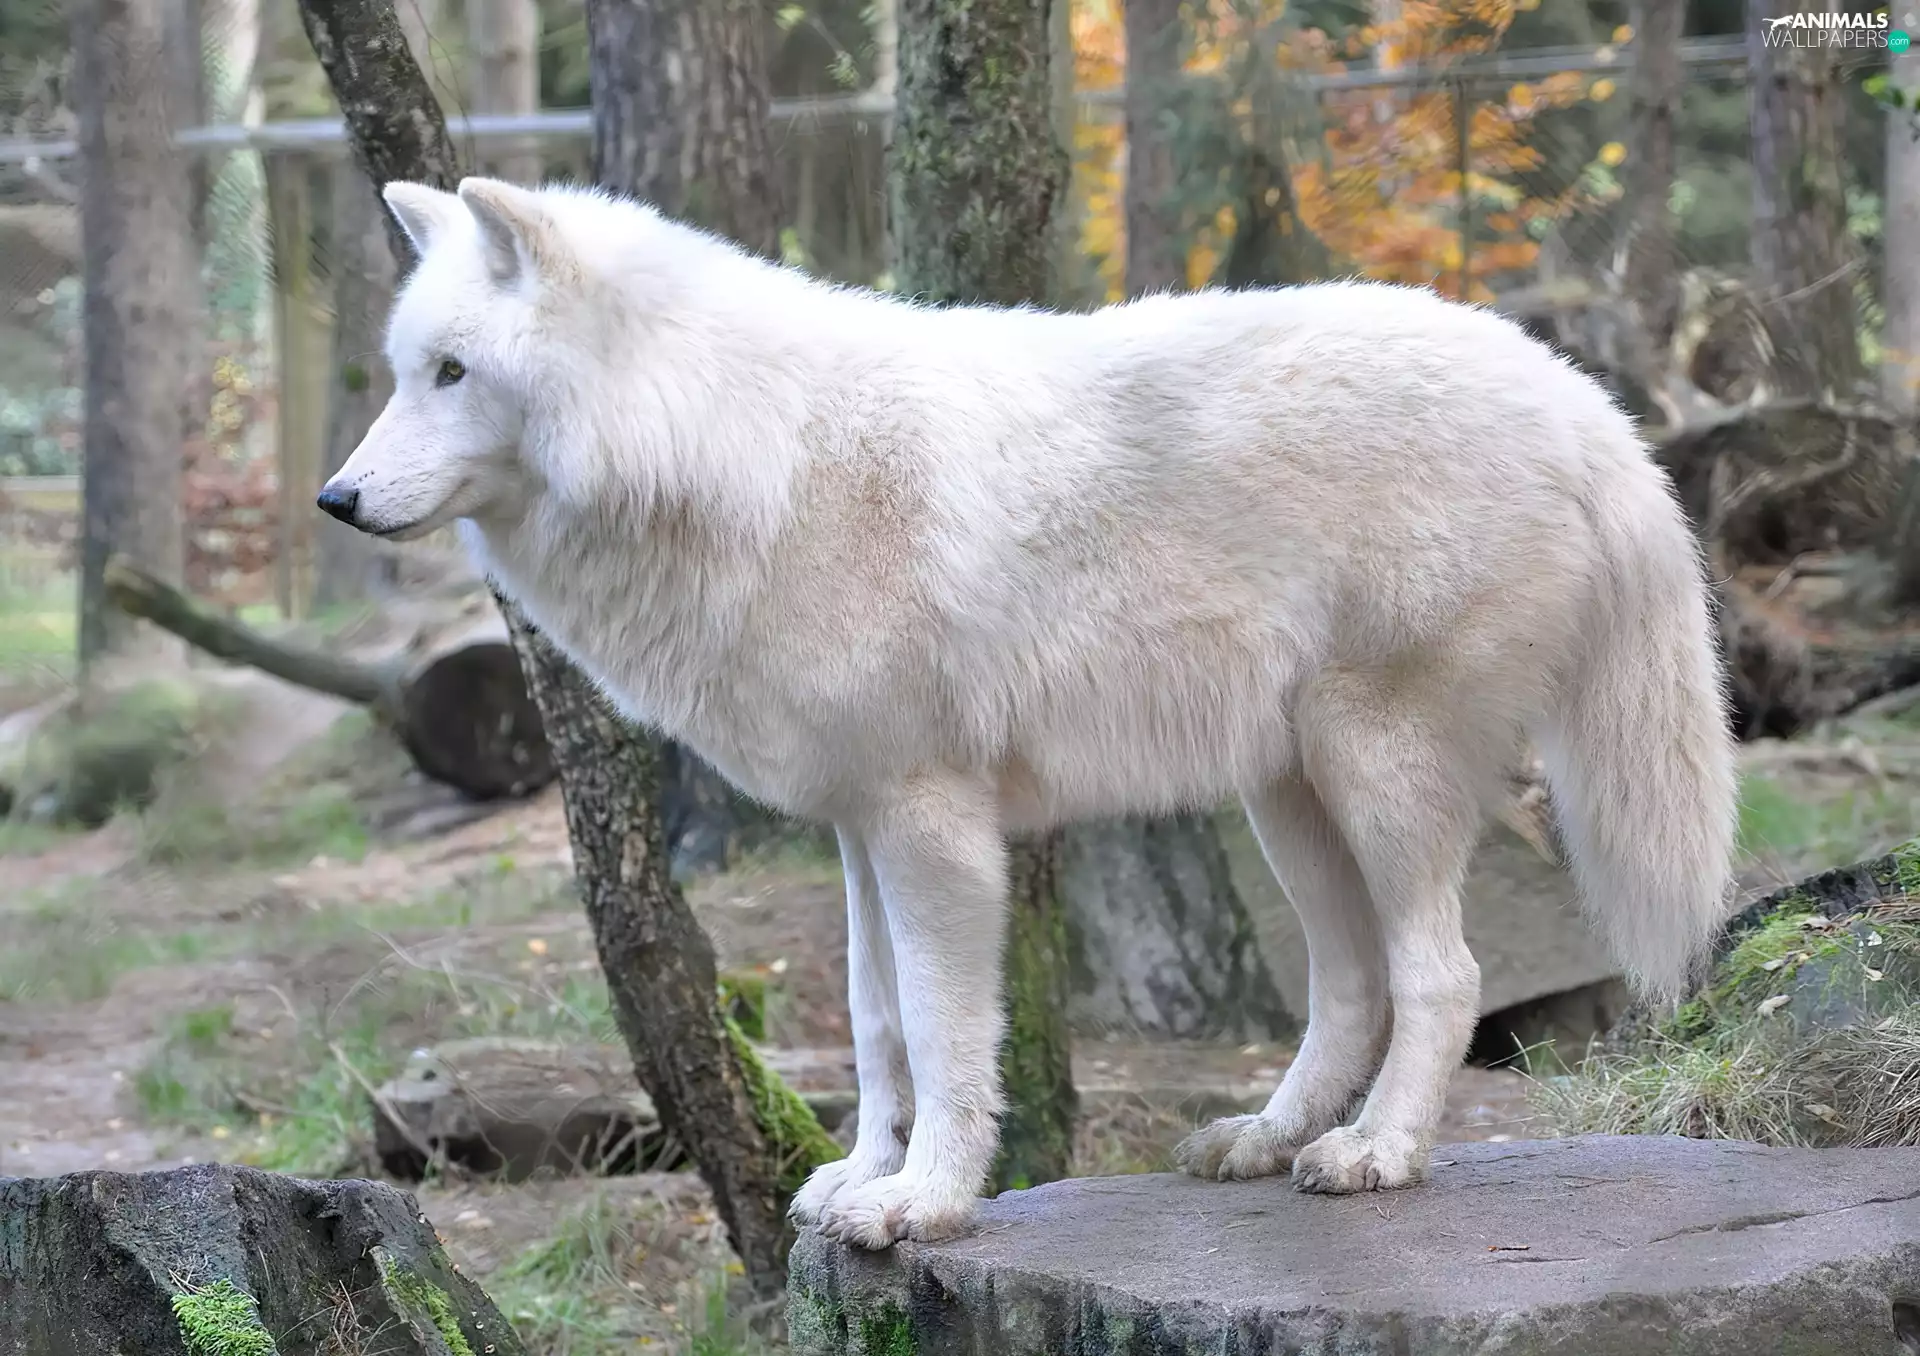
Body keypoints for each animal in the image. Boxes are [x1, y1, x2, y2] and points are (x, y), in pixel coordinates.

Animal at [320, 177, 1739, 1251]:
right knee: (1351, 986)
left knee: (1442, 977)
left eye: (453, 373)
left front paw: (926, 1205)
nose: (337, 500)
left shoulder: (933, 828)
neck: (746, 455)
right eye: (403, 372)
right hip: (1288, 799)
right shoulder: (857, 828)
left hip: (1374, 773)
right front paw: (861, 1177)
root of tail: (1585, 397)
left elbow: (951, 1037)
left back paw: (1377, 1155)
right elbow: (876, 1023)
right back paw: (1266, 1139)